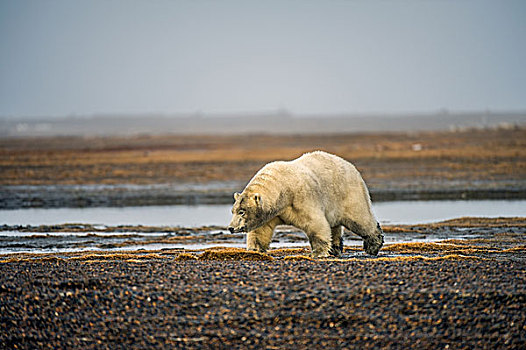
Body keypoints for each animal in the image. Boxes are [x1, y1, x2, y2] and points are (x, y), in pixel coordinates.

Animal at [229, 150, 386, 258]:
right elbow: (260, 230)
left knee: (359, 219)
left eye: (242, 211)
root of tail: (350, 166)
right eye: (233, 211)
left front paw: (318, 253)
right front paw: (254, 250)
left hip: (348, 194)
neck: (282, 188)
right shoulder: (271, 212)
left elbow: (315, 223)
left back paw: (373, 245)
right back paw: (335, 248)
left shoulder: (301, 198)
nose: (231, 228)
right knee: (335, 225)